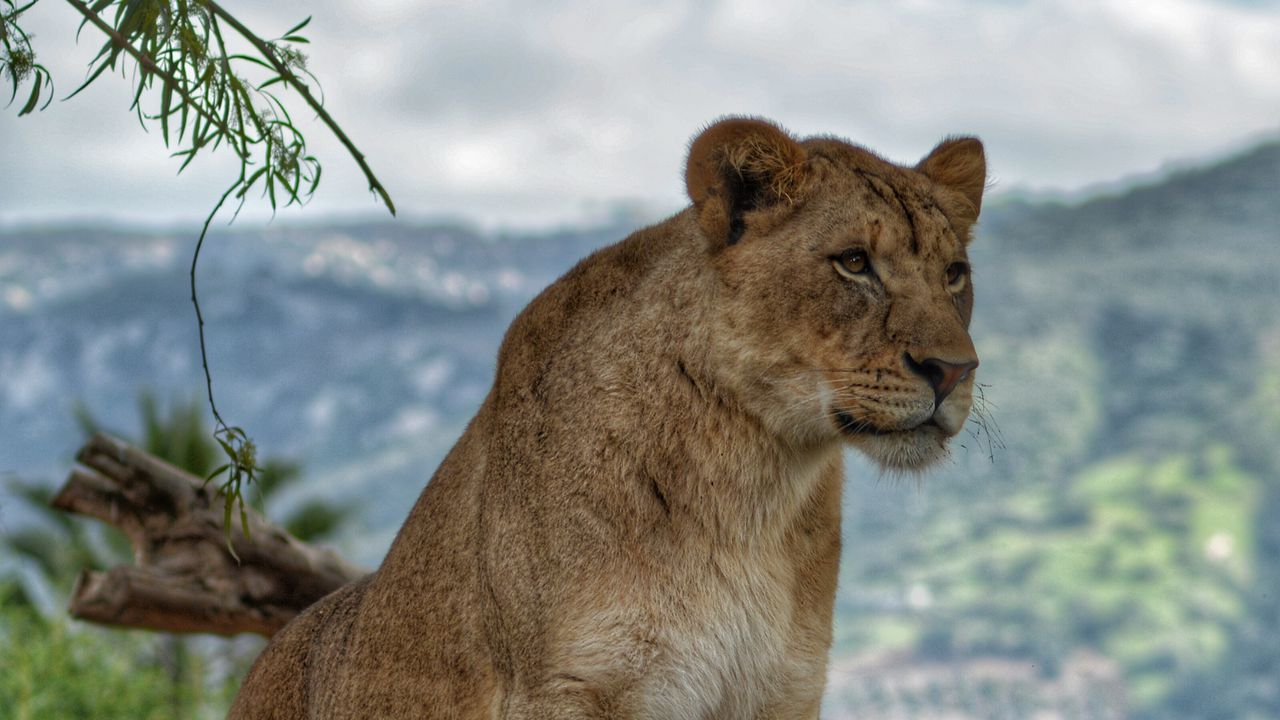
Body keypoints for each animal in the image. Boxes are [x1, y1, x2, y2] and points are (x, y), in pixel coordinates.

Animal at [229, 117, 985, 719]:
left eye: (954, 274)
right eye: (854, 262)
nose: (955, 370)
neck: (754, 479)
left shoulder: (783, 689)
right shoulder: (567, 688)